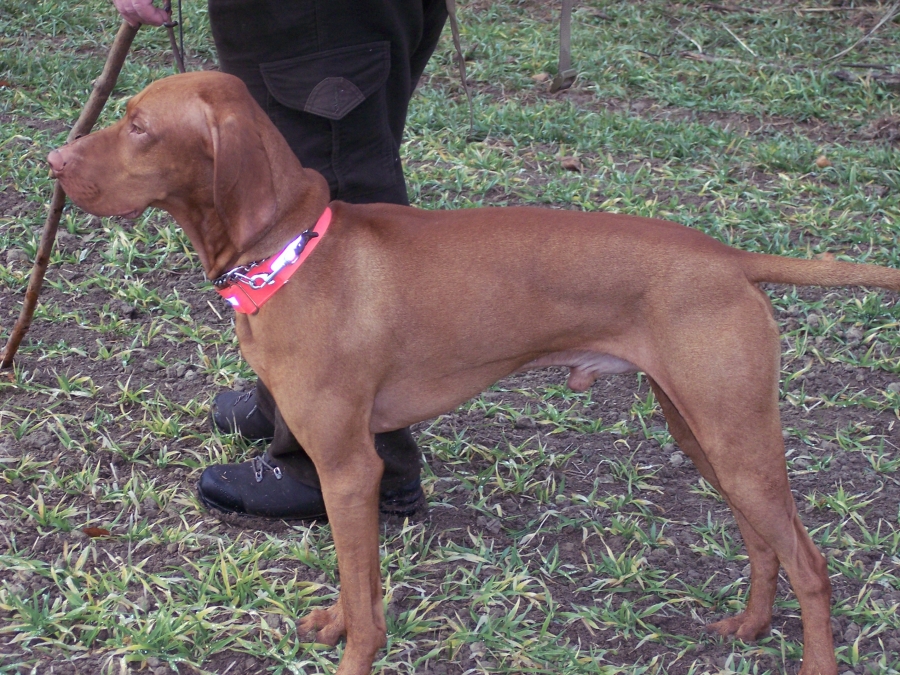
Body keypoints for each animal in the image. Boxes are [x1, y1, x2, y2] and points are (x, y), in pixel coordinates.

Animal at [47, 71, 900, 675]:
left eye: (139, 125)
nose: (53, 160)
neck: (292, 251)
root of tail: (728, 257)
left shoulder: (348, 465)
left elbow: (365, 593)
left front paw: (355, 652)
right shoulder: (347, 470)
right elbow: (355, 576)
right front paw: (336, 622)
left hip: (736, 434)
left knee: (811, 562)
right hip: (704, 431)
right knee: (763, 542)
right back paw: (750, 626)